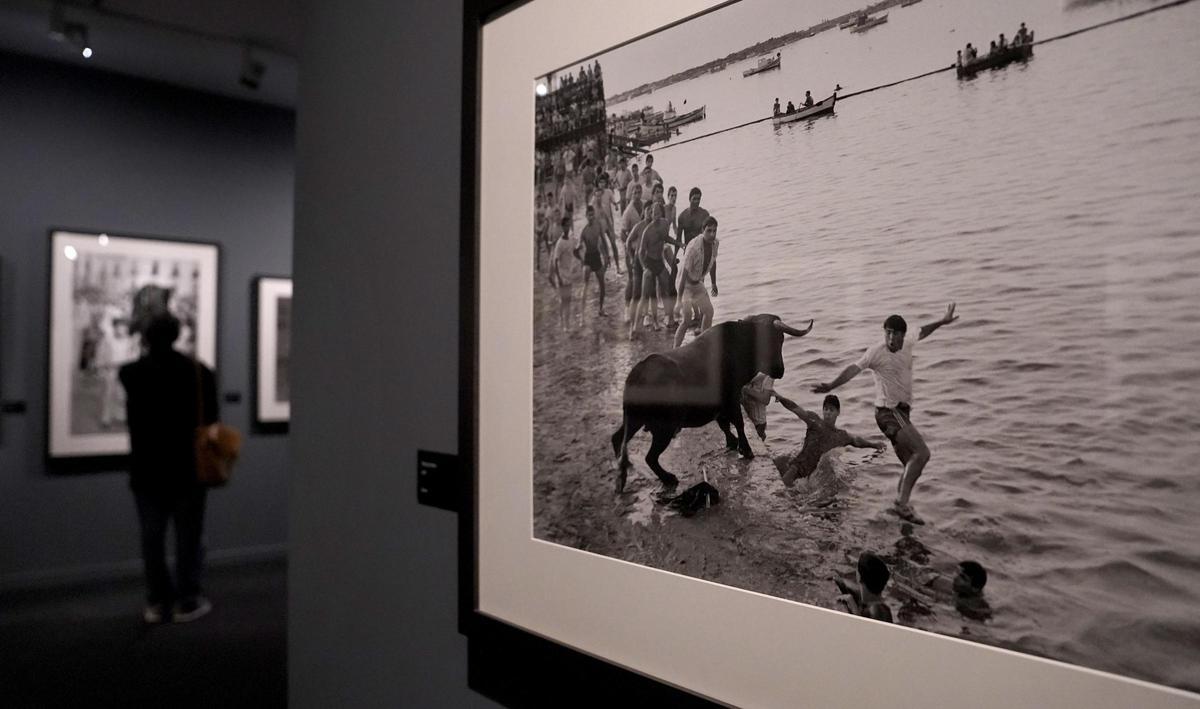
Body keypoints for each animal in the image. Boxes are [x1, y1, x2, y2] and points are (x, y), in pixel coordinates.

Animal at [609, 314, 816, 494]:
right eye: (777, 340)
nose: (779, 370)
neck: (740, 344)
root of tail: (638, 373)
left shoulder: (721, 406)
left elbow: (724, 424)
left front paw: (733, 442)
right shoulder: (732, 399)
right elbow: (738, 423)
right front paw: (746, 449)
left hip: (634, 420)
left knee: (618, 439)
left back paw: (623, 475)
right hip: (664, 428)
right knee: (650, 457)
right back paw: (668, 478)